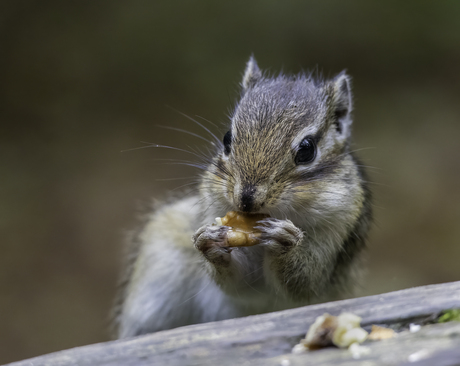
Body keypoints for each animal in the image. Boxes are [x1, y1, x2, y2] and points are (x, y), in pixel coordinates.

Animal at [113, 55, 372, 338]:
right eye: (227, 138)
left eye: (307, 150)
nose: (246, 200)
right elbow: (239, 282)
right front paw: (208, 241)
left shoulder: (335, 235)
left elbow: (305, 283)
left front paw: (285, 240)